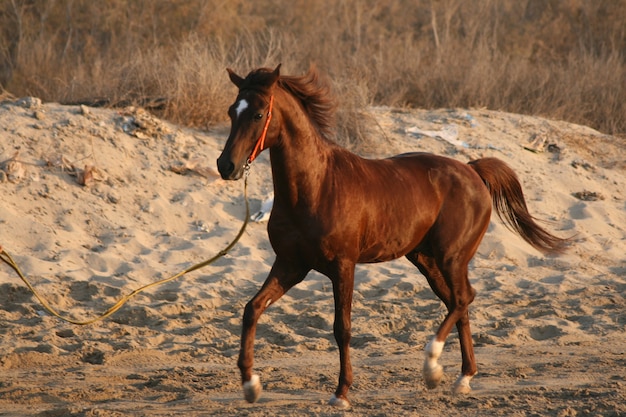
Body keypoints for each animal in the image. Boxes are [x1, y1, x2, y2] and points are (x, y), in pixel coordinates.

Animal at [214, 64, 564, 406]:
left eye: (259, 114)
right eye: (232, 111)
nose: (226, 165)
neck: (316, 186)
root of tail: (473, 171)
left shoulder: (343, 266)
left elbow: (342, 328)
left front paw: (342, 393)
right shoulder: (291, 265)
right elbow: (252, 309)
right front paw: (250, 385)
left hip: (451, 258)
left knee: (463, 299)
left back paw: (433, 367)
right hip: (426, 260)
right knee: (459, 301)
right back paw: (463, 378)